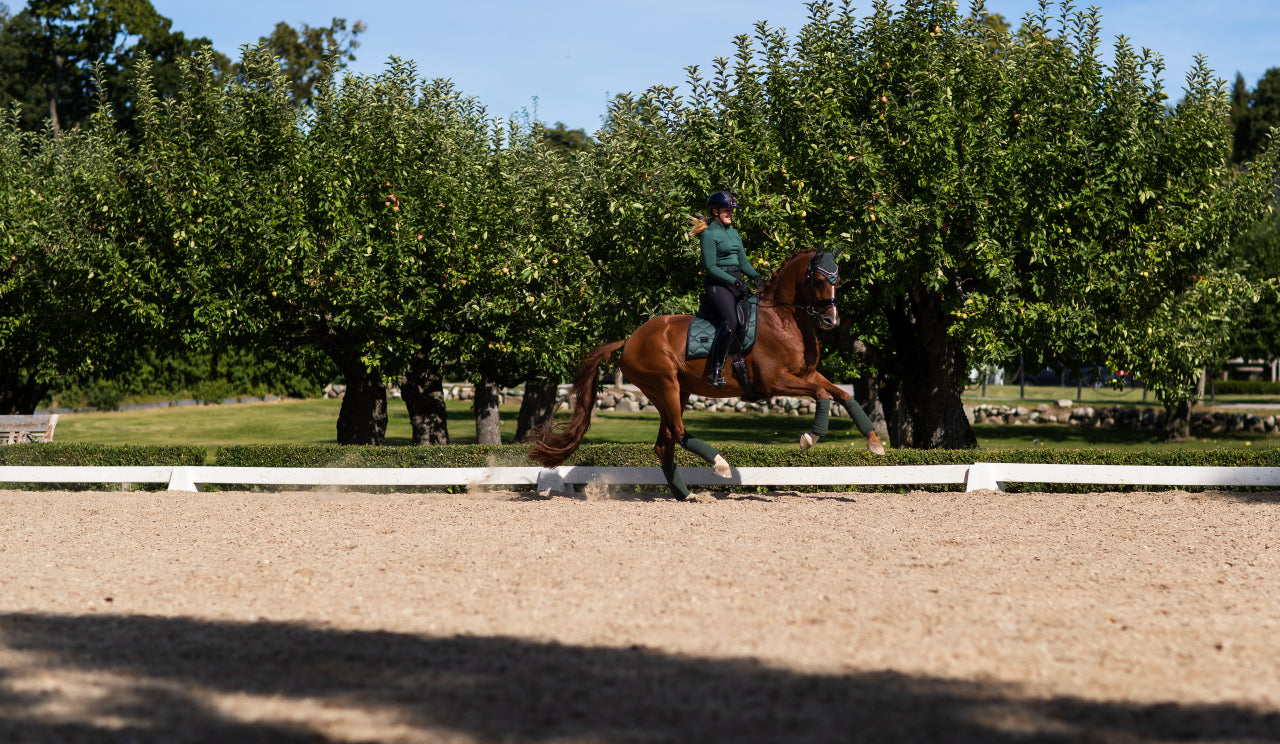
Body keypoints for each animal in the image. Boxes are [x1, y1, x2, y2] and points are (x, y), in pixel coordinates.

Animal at [527, 249, 880, 499]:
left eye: (837, 279)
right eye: (818, 279)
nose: (831, 321)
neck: (782, 319)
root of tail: (629, 339)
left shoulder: (806, 373)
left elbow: (842, 395)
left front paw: (874, 442)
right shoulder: (775, 382)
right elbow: (822, 396)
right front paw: (811, 437)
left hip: (676, 392)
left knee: (665, 444)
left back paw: (685, 494)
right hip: (665, 386)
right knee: (679, 433)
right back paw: (719, 463)